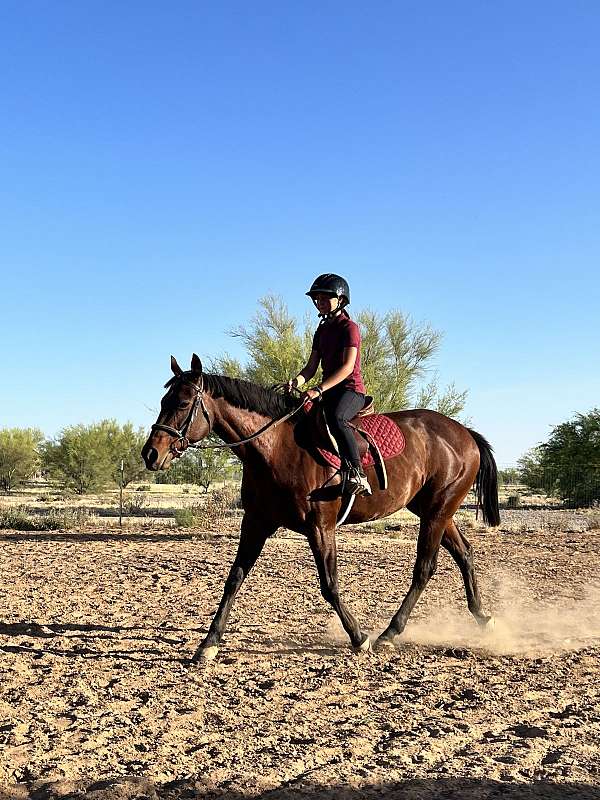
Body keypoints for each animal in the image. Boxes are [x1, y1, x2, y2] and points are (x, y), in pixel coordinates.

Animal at [141, 356, 496, 664]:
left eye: (182, 404)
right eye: (162, 401)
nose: (151, 454)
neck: (276, 447)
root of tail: (464, 433)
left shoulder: (320, 527)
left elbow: (329, 585)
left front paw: (359, 638)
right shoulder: (256, 522)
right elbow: (234, 579)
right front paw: (208, 644)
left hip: (437, 511)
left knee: (424, 568)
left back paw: (389, 633)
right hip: (434, 511)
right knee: (464, 553)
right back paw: (483, 618)